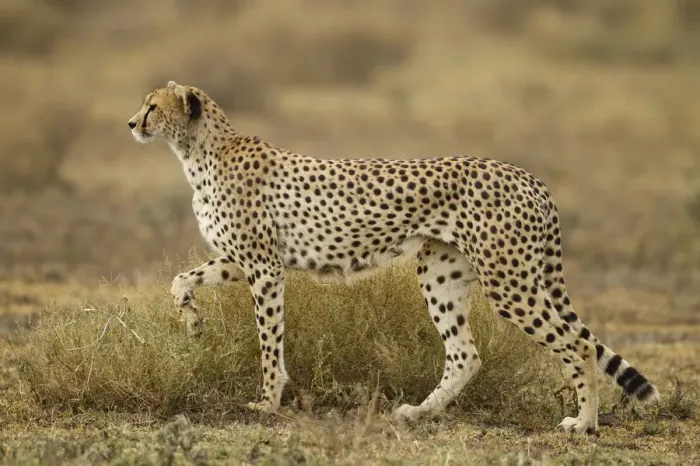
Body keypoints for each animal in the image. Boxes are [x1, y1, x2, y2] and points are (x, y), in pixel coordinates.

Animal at [127, 81, 659, 434]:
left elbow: (268, 341)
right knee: (465, 354)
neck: (199, 152)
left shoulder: (265, 268)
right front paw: (193, 324)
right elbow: (180, 280)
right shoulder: (241, 259)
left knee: (578, 345)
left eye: (153, 106)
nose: (131, 123)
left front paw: (267, 402)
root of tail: (526, 175)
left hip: (510, 281)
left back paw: (584, 424)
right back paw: (419, 412)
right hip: (442, 273)